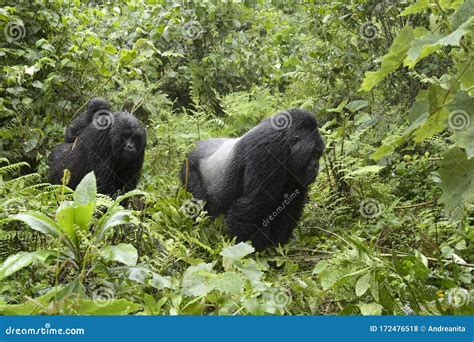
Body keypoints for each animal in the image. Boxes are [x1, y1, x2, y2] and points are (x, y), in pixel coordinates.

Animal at [181, 109, 326, 251]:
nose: (316, 167)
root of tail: (192, 148)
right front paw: (250, 246)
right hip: (189, 169)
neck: (286, 142)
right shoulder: (266, 151)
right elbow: (253, 204)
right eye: (314, 153)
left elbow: (289, 205)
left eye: (319, 154)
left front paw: (277, 242)